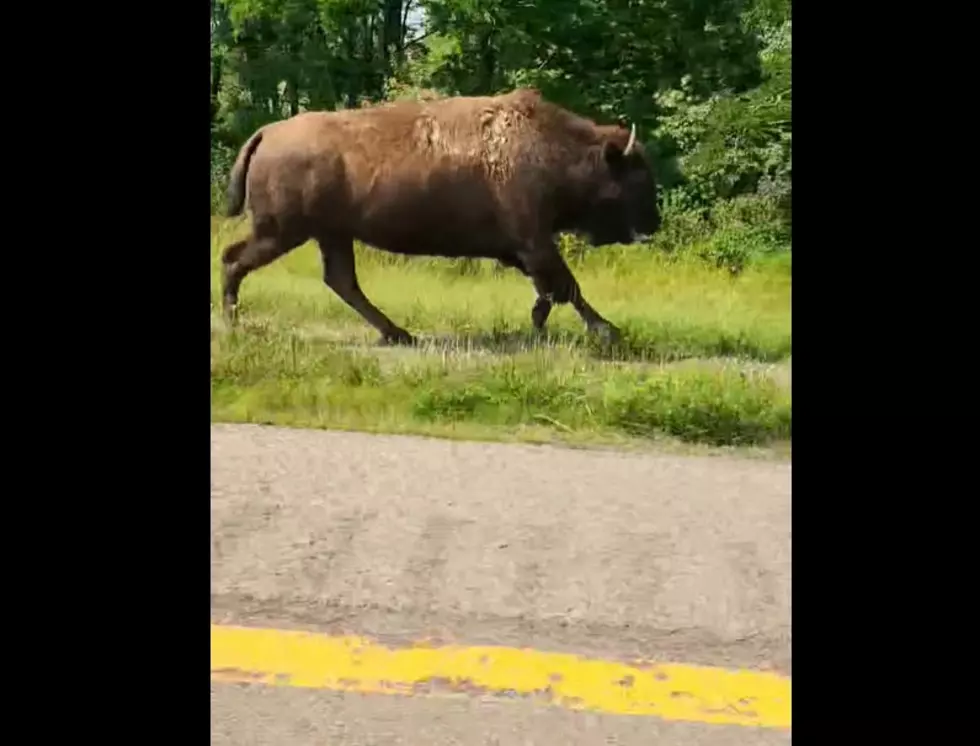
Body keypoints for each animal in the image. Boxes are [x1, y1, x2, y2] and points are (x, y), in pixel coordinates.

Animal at [221, 88, 660, 345]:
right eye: (636, 177)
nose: (653, 223)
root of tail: (268, 132)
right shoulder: (534, 241)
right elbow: (567, 286)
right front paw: (608, 331)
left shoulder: (525, 249)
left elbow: (551, 288)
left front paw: (539, 322)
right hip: (282, 232)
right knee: (234, 259)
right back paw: (233, 324)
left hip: (330, 235)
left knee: (341, 281)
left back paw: (398, 334)